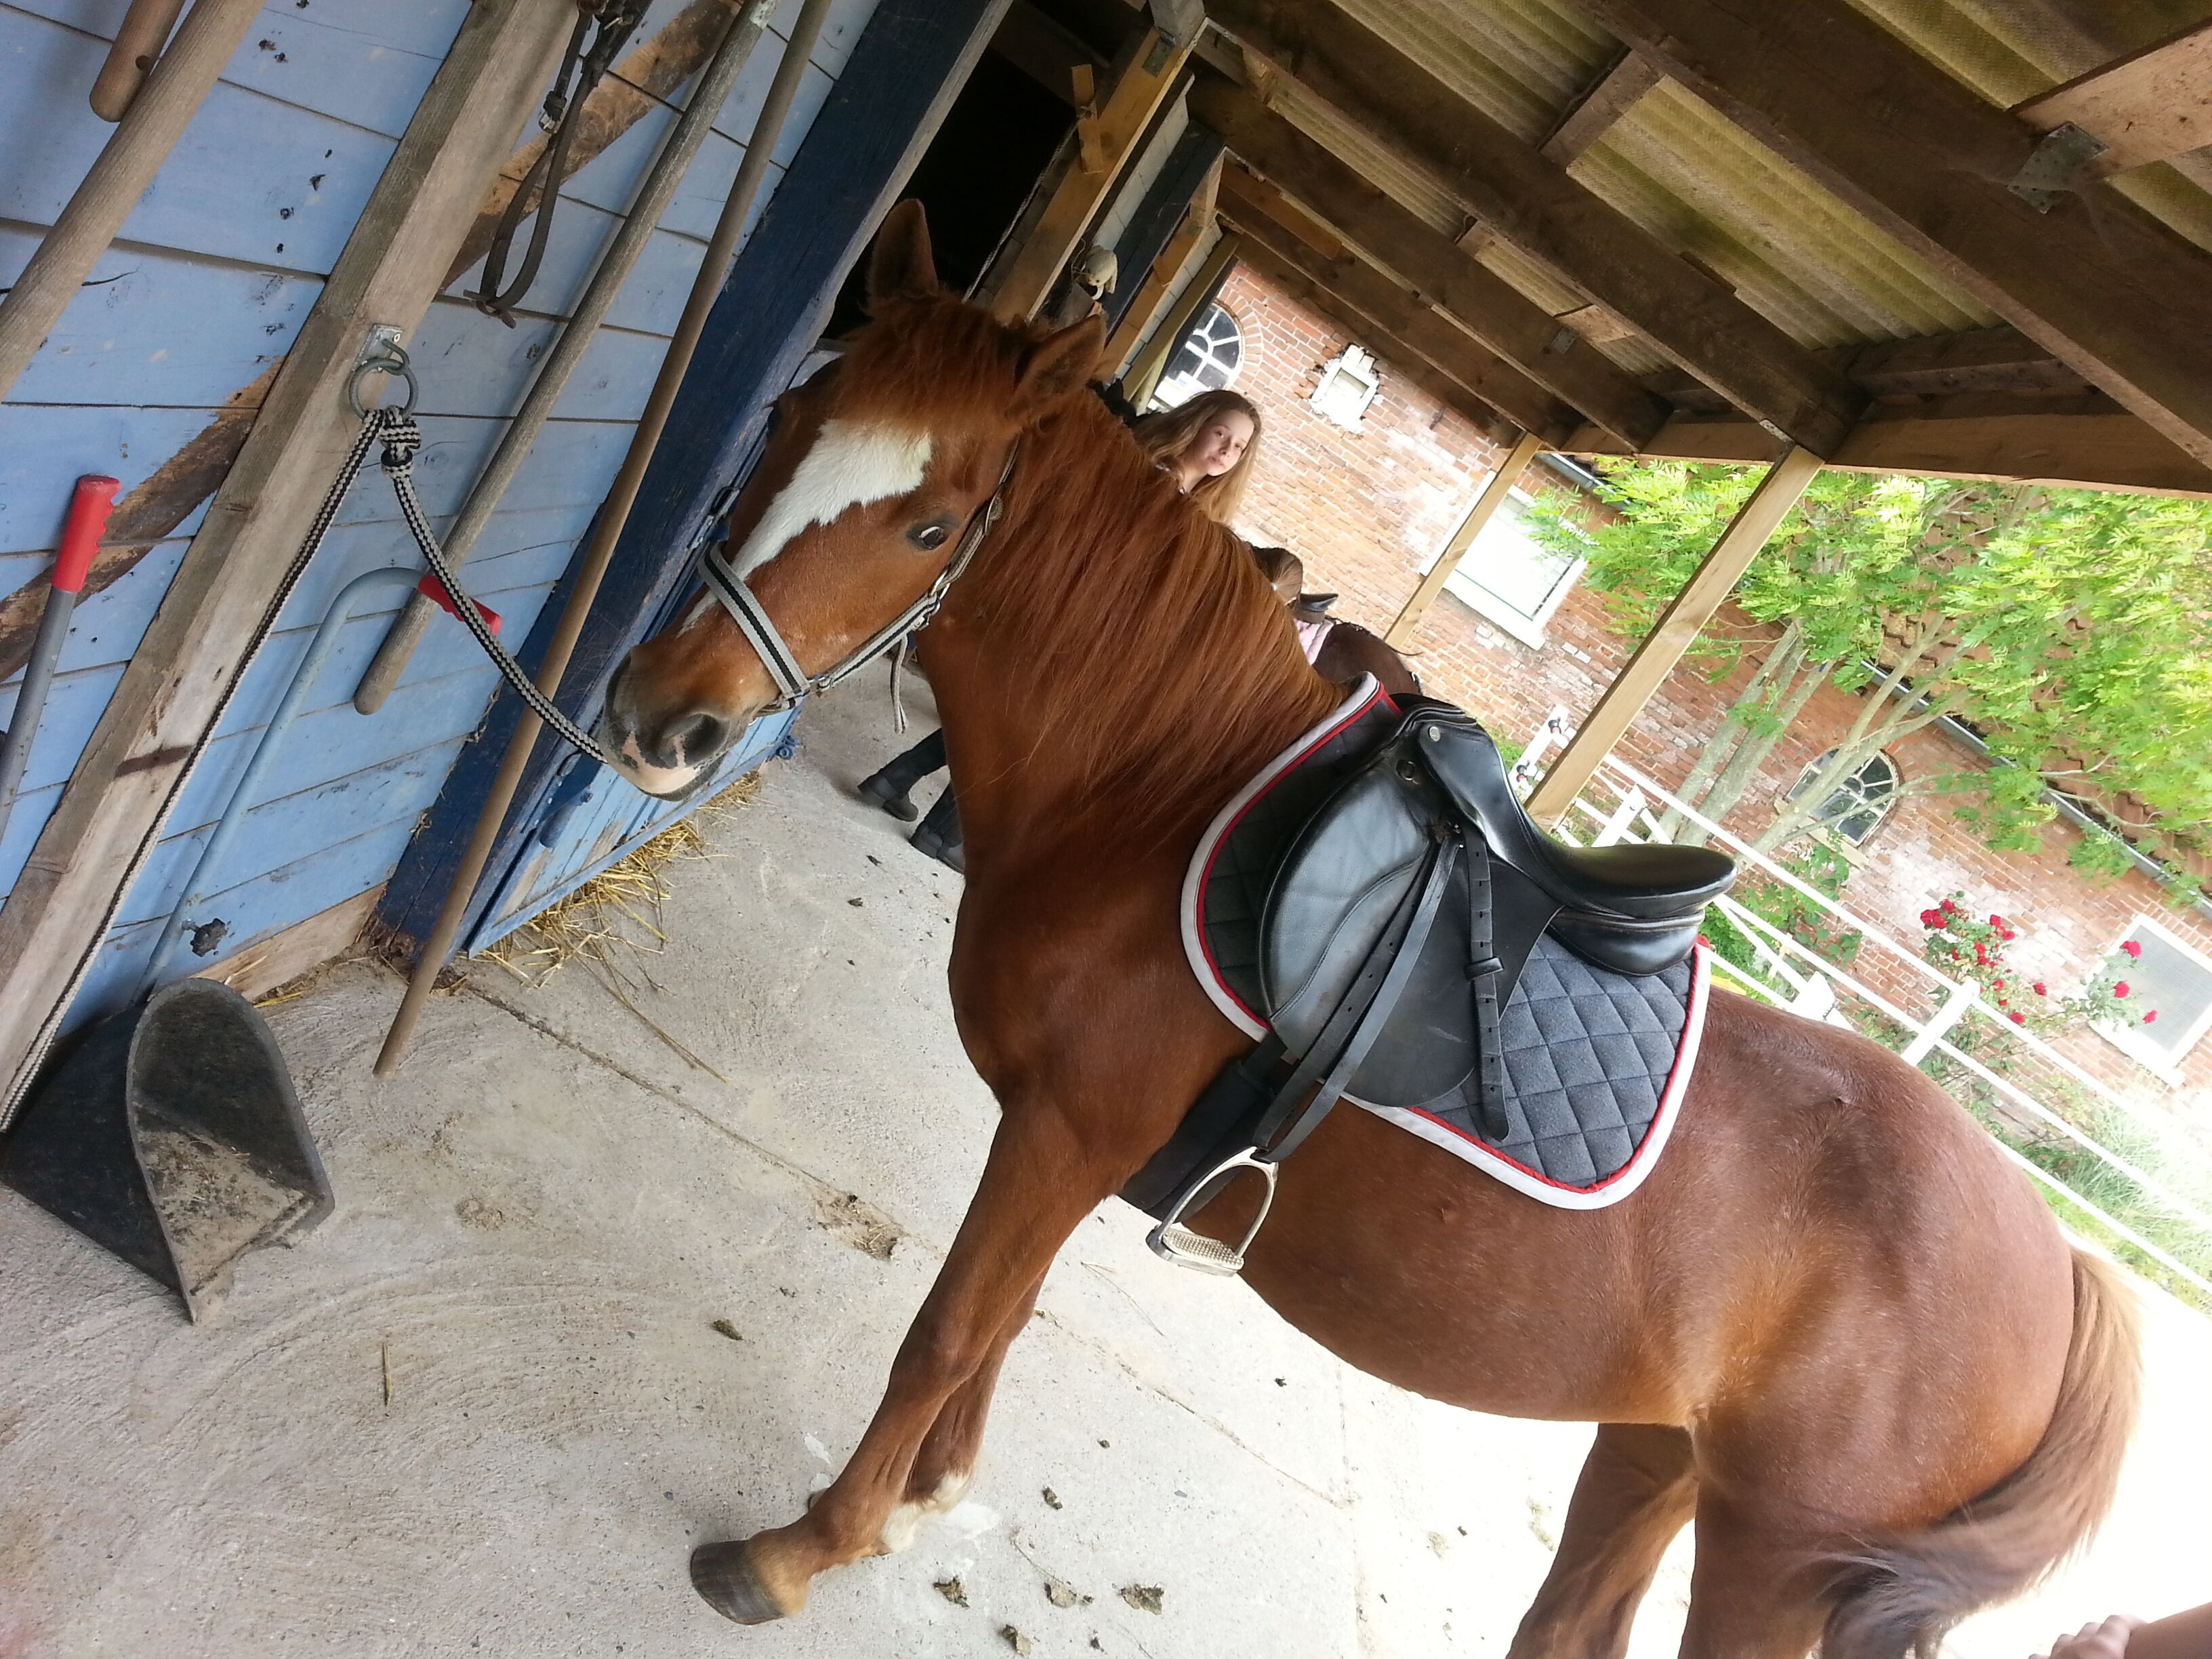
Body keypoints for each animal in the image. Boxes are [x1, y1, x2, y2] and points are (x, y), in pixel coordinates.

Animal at [595, 202, 2139, 1657]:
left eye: (929, 523)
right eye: (788, 422)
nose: (659, 717)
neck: (1158, 798)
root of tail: (2064, 1265)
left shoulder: (1064, 1132)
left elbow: (947, 1330)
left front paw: (806, 1546)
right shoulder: (1069, 1144)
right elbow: (1000, 1324)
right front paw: (924, 1496)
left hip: (1774, 1552)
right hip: (1660, 1449)